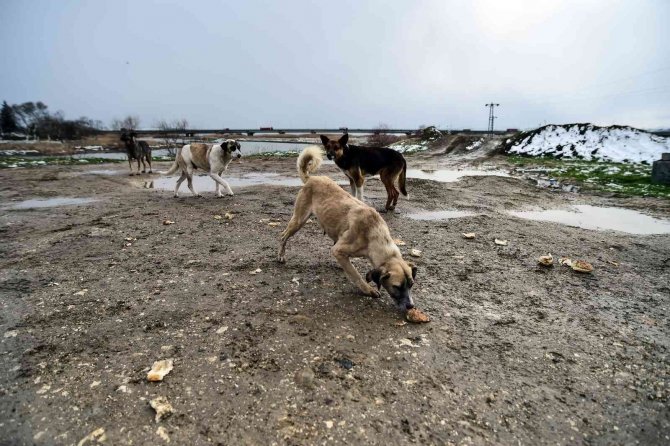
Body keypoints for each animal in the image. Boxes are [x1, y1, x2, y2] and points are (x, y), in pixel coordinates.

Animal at [280, 146, 420, 310]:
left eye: (411, 285)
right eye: (396, 287)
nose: (411, 306)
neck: (374, 234)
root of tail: (312, 178)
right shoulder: (338, 249)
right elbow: (356, 274)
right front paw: (368, 289)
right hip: (299, 220)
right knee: (283, 236)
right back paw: (281, 256)